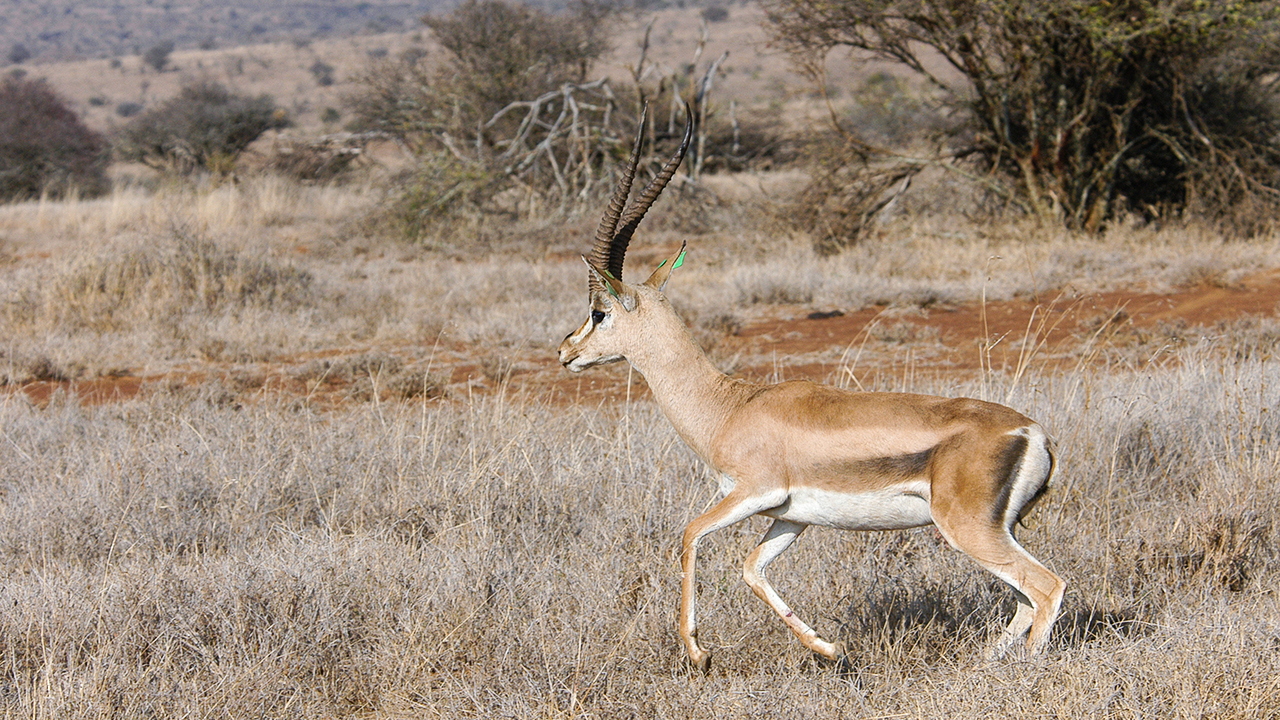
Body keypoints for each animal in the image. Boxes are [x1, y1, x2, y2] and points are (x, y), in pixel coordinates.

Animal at [559, 105, 1065, 671]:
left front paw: (698, 653)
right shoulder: (790, 517)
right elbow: (752, 568)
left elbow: (689, 534)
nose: (566, 352)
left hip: (969, 530)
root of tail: (1035, 434)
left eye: (598, 312)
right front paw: (830, 647)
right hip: (999, 530)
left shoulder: (750, 492)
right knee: (1024, 600)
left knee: (1047, 588)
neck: (730, 406)